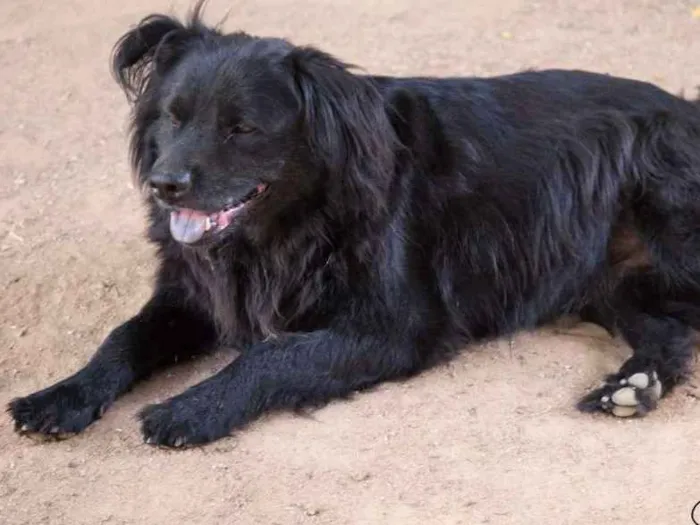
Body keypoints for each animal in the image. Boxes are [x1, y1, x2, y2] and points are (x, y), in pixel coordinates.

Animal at [6, 4, 700, 446]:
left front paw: (189, 409)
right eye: (174, 117)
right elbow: (121, 338)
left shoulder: (396, 326)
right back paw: (633, 387)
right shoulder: (195, 295)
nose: (164, 184)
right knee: (670, 333)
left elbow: (274, 354)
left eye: (242, 128)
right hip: (608, 282)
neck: (291, 227)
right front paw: (57, 397)